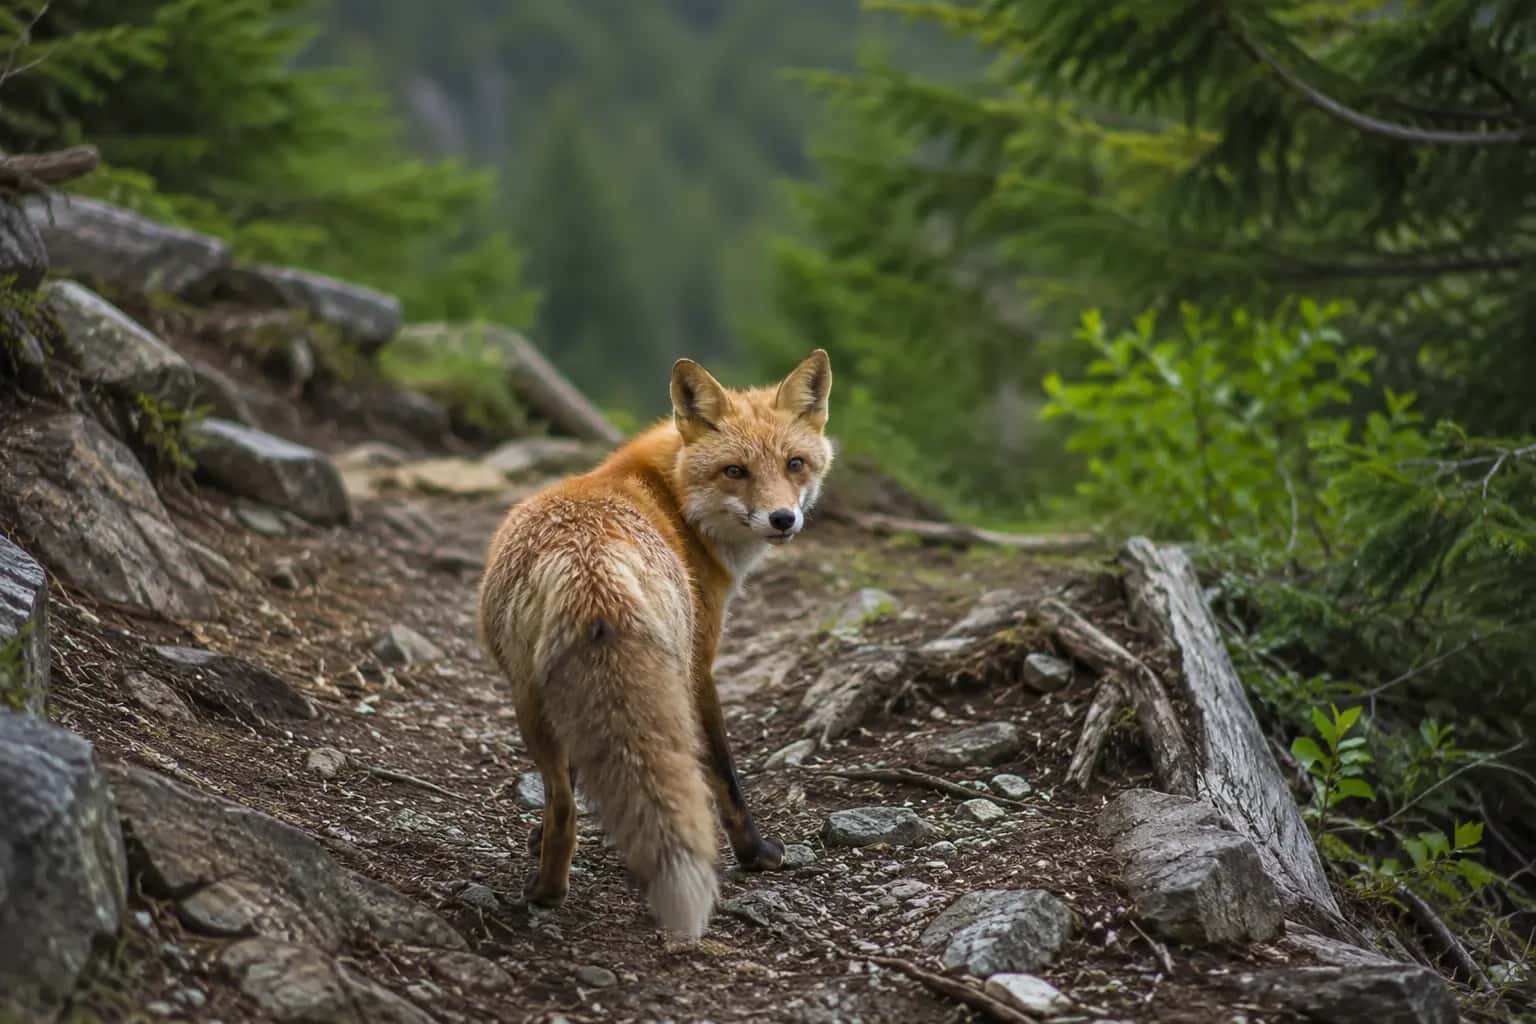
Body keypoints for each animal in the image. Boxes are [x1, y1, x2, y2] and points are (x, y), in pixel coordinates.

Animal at [476, 349, 834, 939]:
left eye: (795, 464)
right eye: (735, 471)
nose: (784, 519)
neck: (674, 501)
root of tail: (590, 566)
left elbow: (577, 769)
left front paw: (532, 838)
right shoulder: (701, 663)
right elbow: (725, 774)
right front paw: (757, 854)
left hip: (533, 695)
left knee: (563, 799)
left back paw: (547, 881)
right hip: (662, 683)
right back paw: (549, 893)